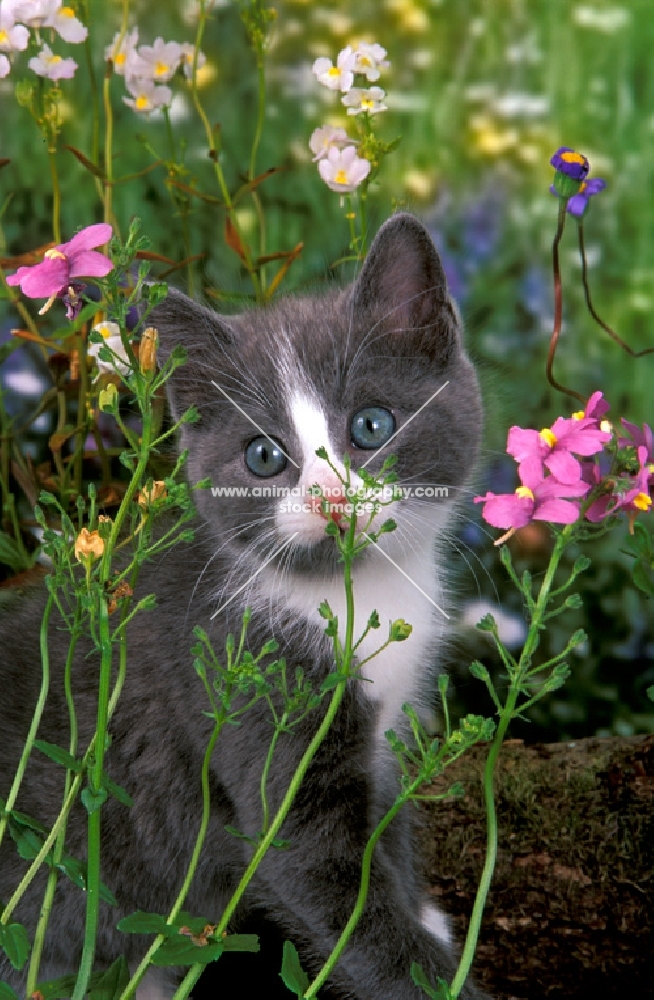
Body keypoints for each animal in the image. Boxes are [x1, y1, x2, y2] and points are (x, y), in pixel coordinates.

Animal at [0, 215, 490, 996]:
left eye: (372, 425)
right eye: (264, 457)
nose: (330, 499)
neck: (347, 598)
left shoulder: (388, 736)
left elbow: (387, 838)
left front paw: (428, 912)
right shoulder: (260, 717)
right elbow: (342, 902)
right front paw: (437, 967)